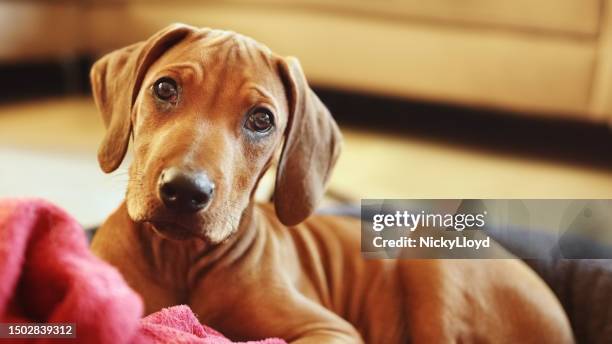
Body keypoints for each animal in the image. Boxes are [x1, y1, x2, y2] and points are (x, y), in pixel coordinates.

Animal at [91, 24, 572, 344]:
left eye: (261, 120)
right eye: (164, 89)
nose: (185, 191)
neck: (180, 260)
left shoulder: (329, 329)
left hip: (431, 257)